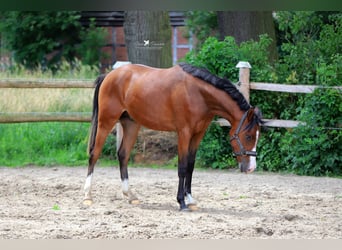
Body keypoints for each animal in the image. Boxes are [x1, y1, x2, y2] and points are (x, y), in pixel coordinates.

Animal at [82, 62, 262, 211]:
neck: (198, 94)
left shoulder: (198, 134)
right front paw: (181, 202)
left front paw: (190, 200)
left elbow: (190, 166)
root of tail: (108, 76)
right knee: (94, 154)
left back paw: (130, 195)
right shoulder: (184, 133)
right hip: (105, 122)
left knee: (123, 155)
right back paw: (87, 196)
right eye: (248, 136)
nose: (252, 168)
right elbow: (182, 167)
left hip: (131, 124)